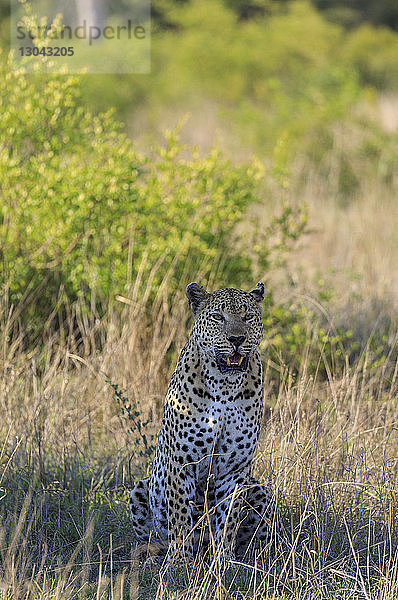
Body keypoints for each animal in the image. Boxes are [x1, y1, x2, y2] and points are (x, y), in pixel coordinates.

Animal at [129, 282, 276, 564]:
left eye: (247, 317)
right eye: (218, 317)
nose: (236, 339)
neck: (225, 386)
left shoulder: (235, 470)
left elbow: (228, 519)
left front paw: (224, 561)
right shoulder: (180, 463)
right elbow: (179, 517)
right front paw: (179, 562)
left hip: (260, 490)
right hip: (140, 489)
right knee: (149, 538)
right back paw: (154, 557)